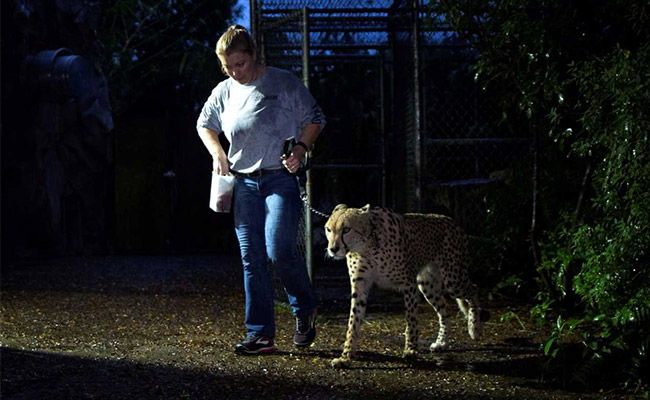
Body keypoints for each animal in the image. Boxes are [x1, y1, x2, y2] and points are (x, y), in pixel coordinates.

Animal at [324, 205, 486, 368]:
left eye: (346, 229)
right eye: (328, 230)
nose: (333, 249)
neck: (367, 247)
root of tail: (451, 220)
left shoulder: (409, 284)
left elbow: (411, 319)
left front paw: (411, 350)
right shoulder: (360, 285)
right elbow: (353, 322)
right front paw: (346, 356)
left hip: (453, 280)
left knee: (474, 289)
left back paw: (474, 328)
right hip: (427, 285)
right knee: (444, 312)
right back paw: (441, 343)